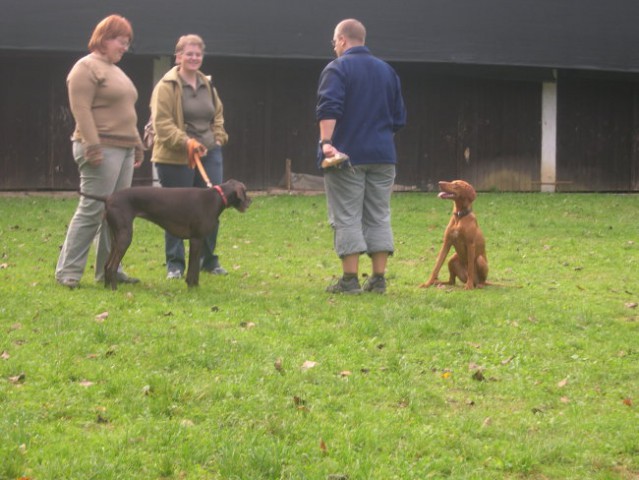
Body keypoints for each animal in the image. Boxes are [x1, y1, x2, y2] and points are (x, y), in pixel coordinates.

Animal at [80, 179, 250, 288]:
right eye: (246, 191)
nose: (251, 201)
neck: (216, 198)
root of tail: (108, 197)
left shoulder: (199, 240)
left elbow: (196, 268)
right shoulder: (196, 239)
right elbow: (193, 268)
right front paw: (192, 287)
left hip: (116, 237)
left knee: (106, 265)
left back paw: (107, 288)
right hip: (125, 237)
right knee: (112, 266)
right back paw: (115, 289)